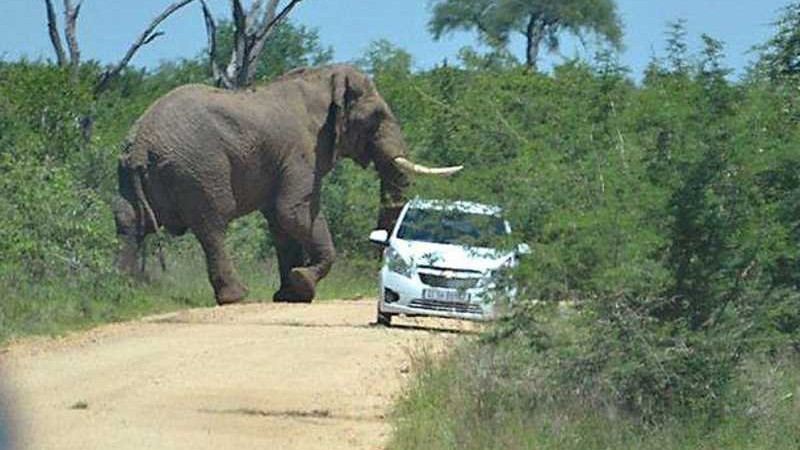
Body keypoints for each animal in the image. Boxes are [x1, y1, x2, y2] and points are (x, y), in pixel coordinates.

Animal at [114, 64, 462, 306]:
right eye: (375, 118)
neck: (323, 79)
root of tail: (141, 142)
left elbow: (281, 224)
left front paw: (289, 294)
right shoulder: (301, 151)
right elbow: (292, 213)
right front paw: (302, 283)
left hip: (131, 175)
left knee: (129, 223)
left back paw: (124, 289)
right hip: (199, 169)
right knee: (212, 225)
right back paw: (236, 296)